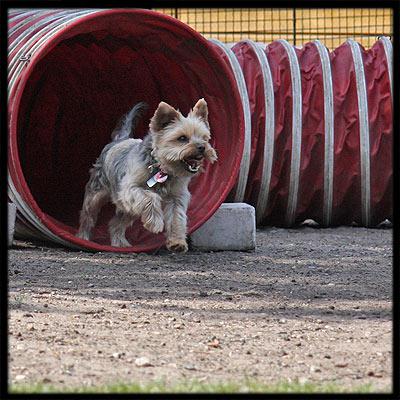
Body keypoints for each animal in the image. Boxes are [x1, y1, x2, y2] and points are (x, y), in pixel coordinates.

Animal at [76, 98, 217, 252]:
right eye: (182, 138)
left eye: (204, 138)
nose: (202, 147)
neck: (162, 168)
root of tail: (119, 140)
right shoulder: (129, 189)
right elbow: (150, 196)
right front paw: (155, 223)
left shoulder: (176, 197)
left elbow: (176, 217)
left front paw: (177, 242)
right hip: (96, 194)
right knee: (87, 216)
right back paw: (82, 237)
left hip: (129, 209)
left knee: (115, 223)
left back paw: (120, 243)